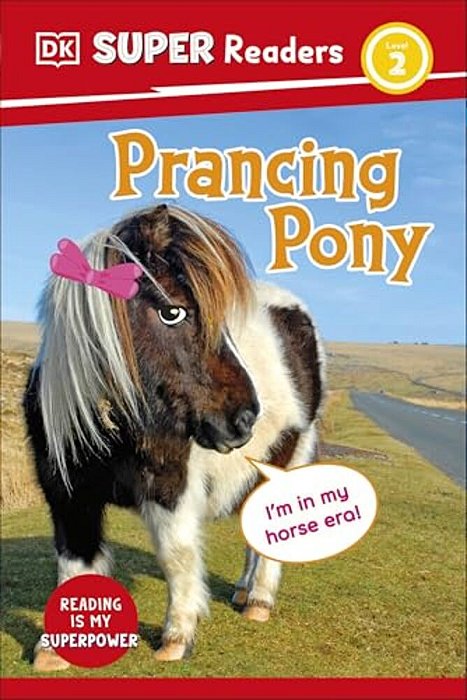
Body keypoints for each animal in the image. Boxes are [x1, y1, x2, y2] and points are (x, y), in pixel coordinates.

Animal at [23, 204, 325, 669]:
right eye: (173, 312)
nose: (244, 418)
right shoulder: (67, 495)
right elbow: (73, 564)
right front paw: (54, 650)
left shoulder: (171, 487)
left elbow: (177, 555)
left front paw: (177, 636)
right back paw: (243, 591)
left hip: (289, 458)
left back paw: (259, 600)